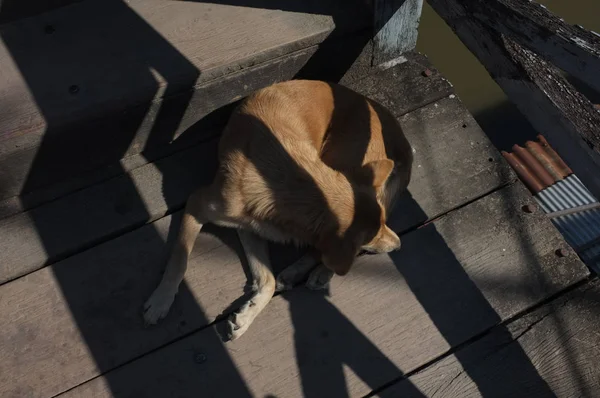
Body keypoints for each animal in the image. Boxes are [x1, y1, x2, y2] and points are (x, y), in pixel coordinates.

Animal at [142, 80, 412, 338]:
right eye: (371, 237)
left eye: (384, 223)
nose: (399, 245)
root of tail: (401, 140)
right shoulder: (212, 210)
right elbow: (181, 258)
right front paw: (162, 299)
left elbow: (269, 280)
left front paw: (247, 315)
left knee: (324, 255)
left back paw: (313, 273)